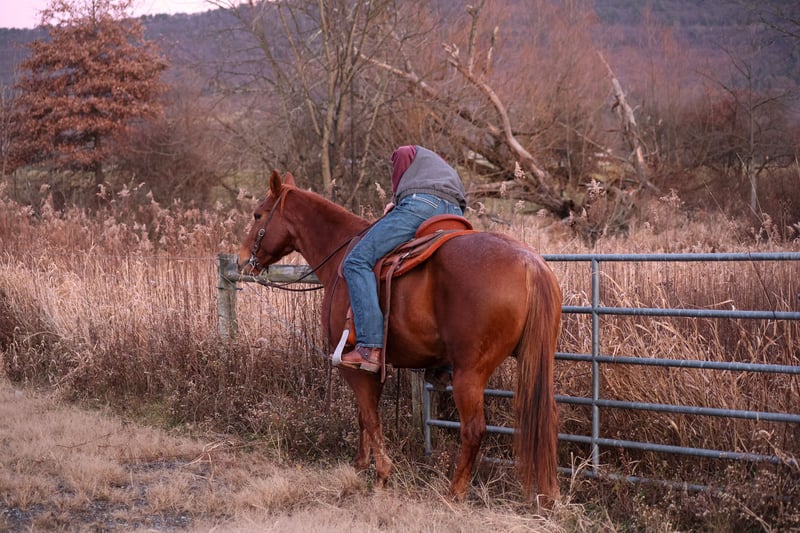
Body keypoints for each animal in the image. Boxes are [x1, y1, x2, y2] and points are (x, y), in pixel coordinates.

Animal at [238, 170, 562, 506]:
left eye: (258, 214)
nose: (242, 259)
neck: (340, 257)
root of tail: (529, 263)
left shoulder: (354, 366)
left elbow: (370, 416)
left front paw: (381, 474)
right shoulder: (371, 370)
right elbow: (363, 416)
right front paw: (360, 466)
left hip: (470, 373)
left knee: (474, 429)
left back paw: (455, 492)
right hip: (534, 362)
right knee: (546, 421)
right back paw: (549, 494)